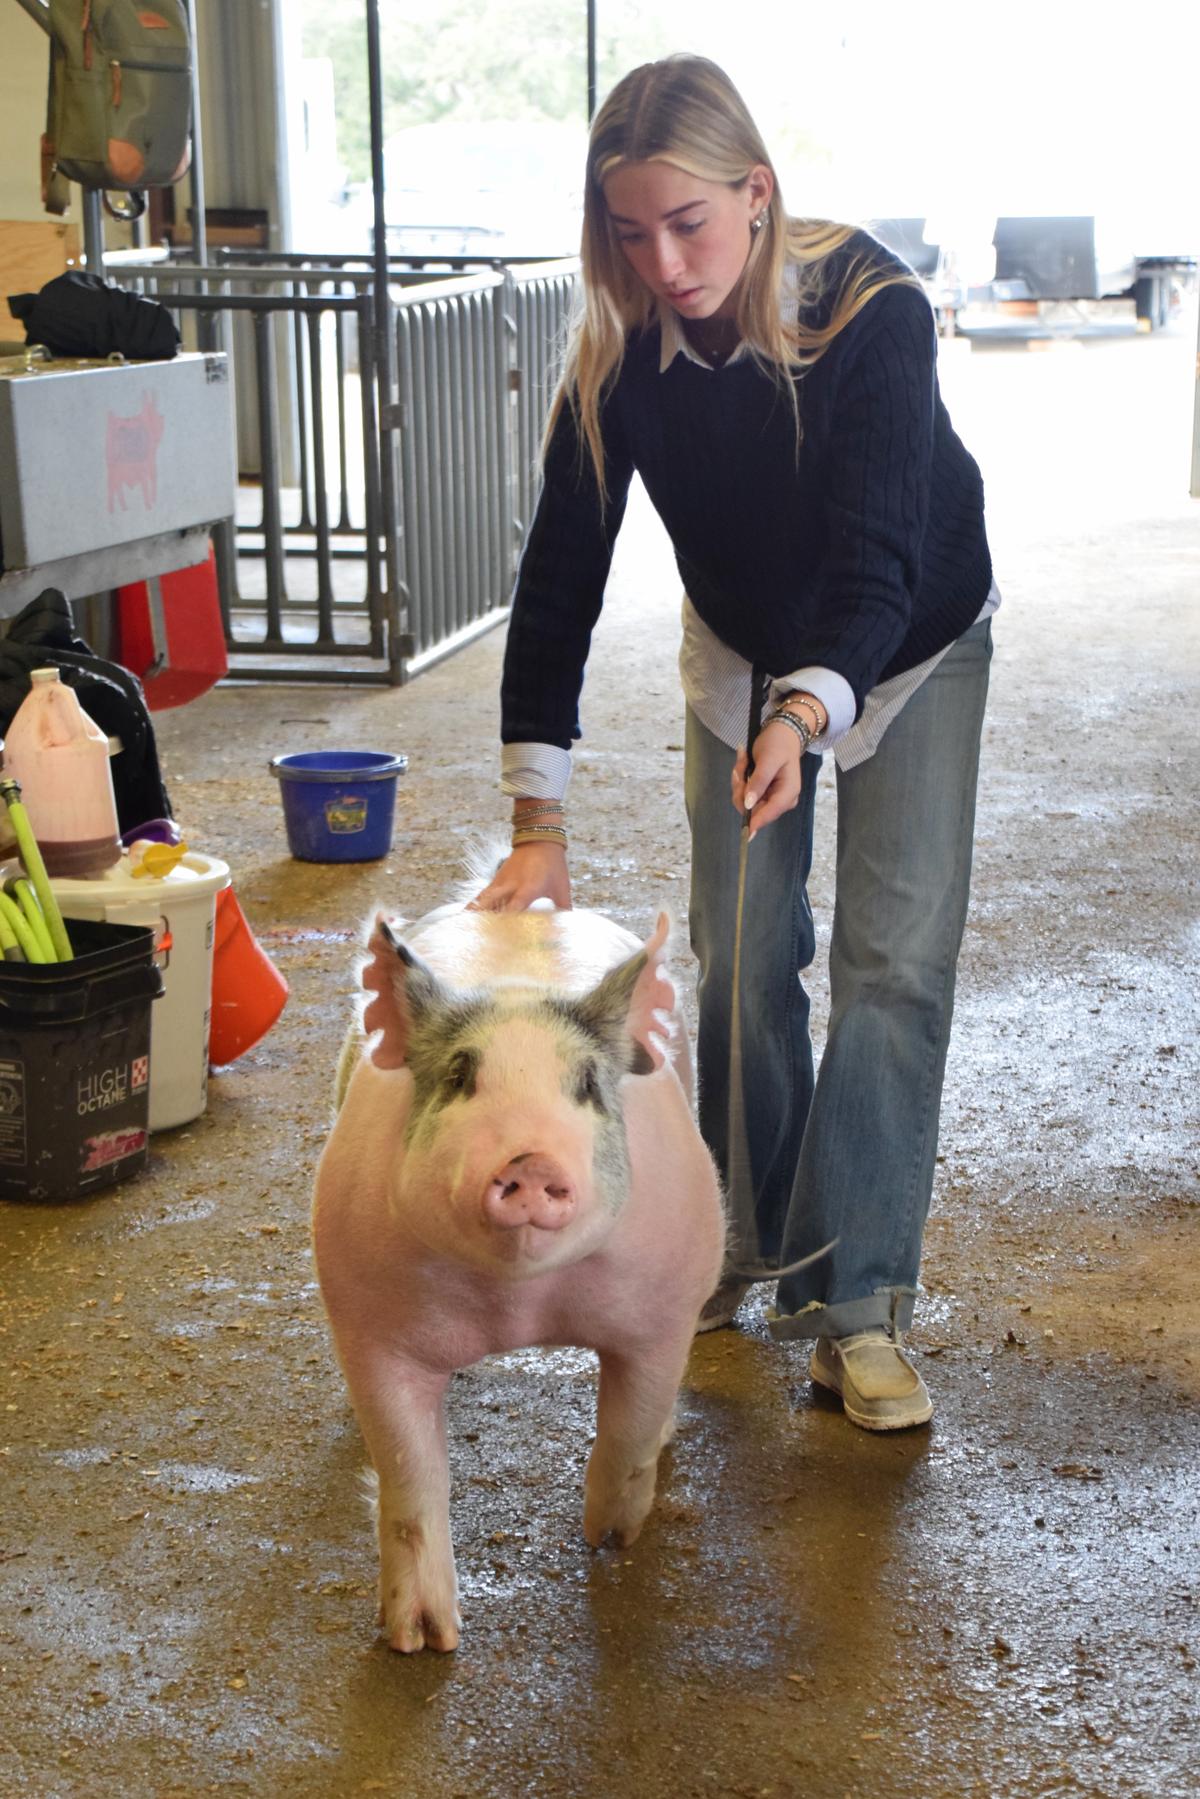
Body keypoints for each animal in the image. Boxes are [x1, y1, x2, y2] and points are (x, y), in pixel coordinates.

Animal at [312, 900, 726, 1653]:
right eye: (459, 1076)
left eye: (588, 1085)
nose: (530, 1159)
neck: (518, 1308)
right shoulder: (367, 1321)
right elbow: (410, 1473)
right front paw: (422, 1642)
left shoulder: (666, 1306)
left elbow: (629, 1429)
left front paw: (606, 1539)